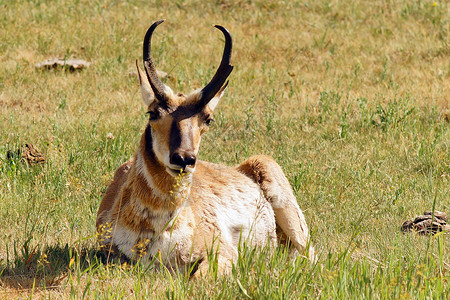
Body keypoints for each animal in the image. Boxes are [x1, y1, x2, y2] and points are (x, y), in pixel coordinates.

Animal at [96, 19, 312, 276]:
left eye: (208, 118)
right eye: (153, 112)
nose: (184, 159)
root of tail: (243, 167)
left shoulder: (222, 252)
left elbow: (200, 277)